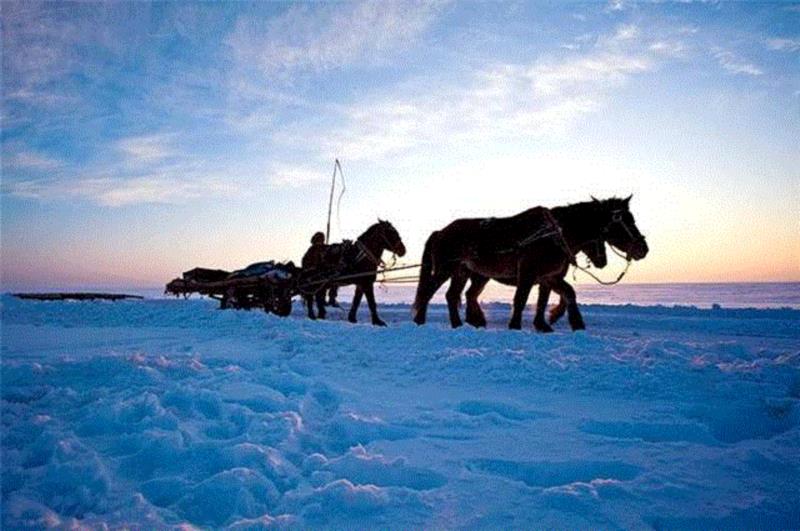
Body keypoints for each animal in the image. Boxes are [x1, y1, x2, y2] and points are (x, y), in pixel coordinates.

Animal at [416, 198, 648, 332]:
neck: (554, 234)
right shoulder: (528, 274)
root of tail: (441, 231)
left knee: (454, 295)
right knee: (429, 291)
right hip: (446, 269)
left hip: (463, 272)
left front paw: (553, 323)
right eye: (625, 220)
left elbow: (558, 296)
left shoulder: (549, 277)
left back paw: (461, 323)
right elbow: (521, 299)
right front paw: (515, 325)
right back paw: (421, 320)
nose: (643, 249)